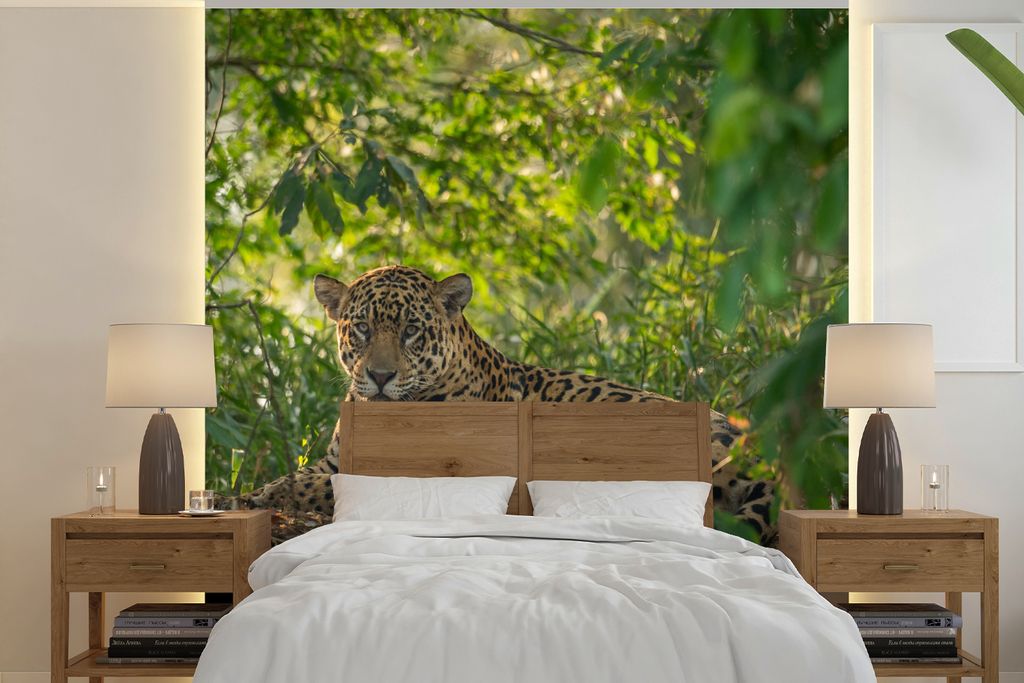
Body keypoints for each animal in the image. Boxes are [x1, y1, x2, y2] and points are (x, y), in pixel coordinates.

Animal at [230, 265, 774, 545]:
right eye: (361, 327)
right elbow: (307, 474)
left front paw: (262, 496)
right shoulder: (334, 459)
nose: (381, 377)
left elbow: (313, 486)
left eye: (410, 330)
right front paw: (257, 492)